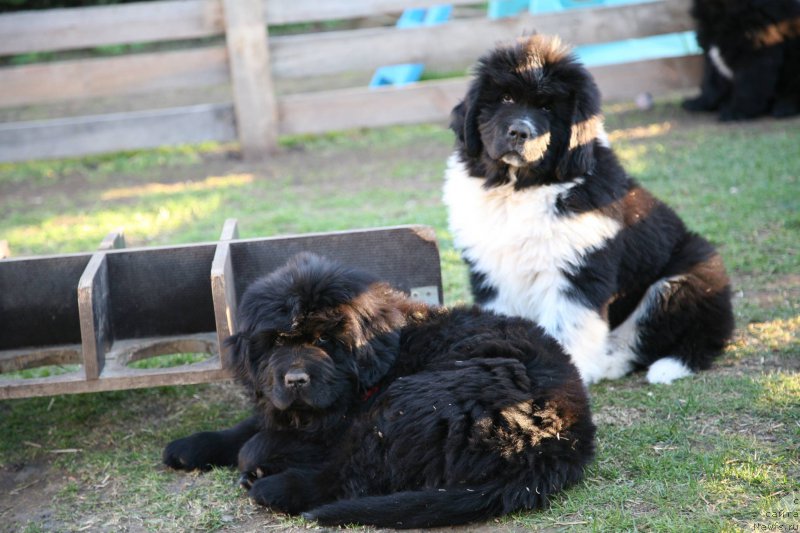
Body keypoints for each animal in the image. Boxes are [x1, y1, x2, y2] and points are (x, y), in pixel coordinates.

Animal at [162, 254, 592, 528]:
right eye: (279, 341)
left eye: (325, 339)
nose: (296, 379)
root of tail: (559, 442)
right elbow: (253, 424)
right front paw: (191, 446)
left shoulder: (339, 423)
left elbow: (261, 441)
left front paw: (258, 457)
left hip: (408, 404)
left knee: (350, 474)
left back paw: (275, 486)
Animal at [446, 35, 736, 384]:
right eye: (505, 98)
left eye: (547, 108)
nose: (519, 132)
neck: (521, 188)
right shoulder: (493, 274)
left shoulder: (578, 271)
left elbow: (566, 330)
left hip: (688, 275)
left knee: (647, 338)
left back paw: (614, 364)